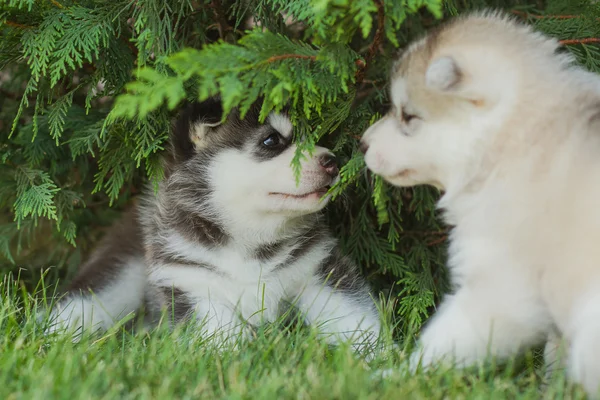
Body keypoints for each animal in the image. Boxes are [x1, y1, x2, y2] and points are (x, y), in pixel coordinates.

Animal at [48, 98, 384, 352]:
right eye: (272, 140)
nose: (334, 162)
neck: (248, 239)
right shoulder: (192, 287)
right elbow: (224, 342)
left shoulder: (320, 270)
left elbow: (358, 323)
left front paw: (384, 368)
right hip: (118, 276)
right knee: (77, 307)